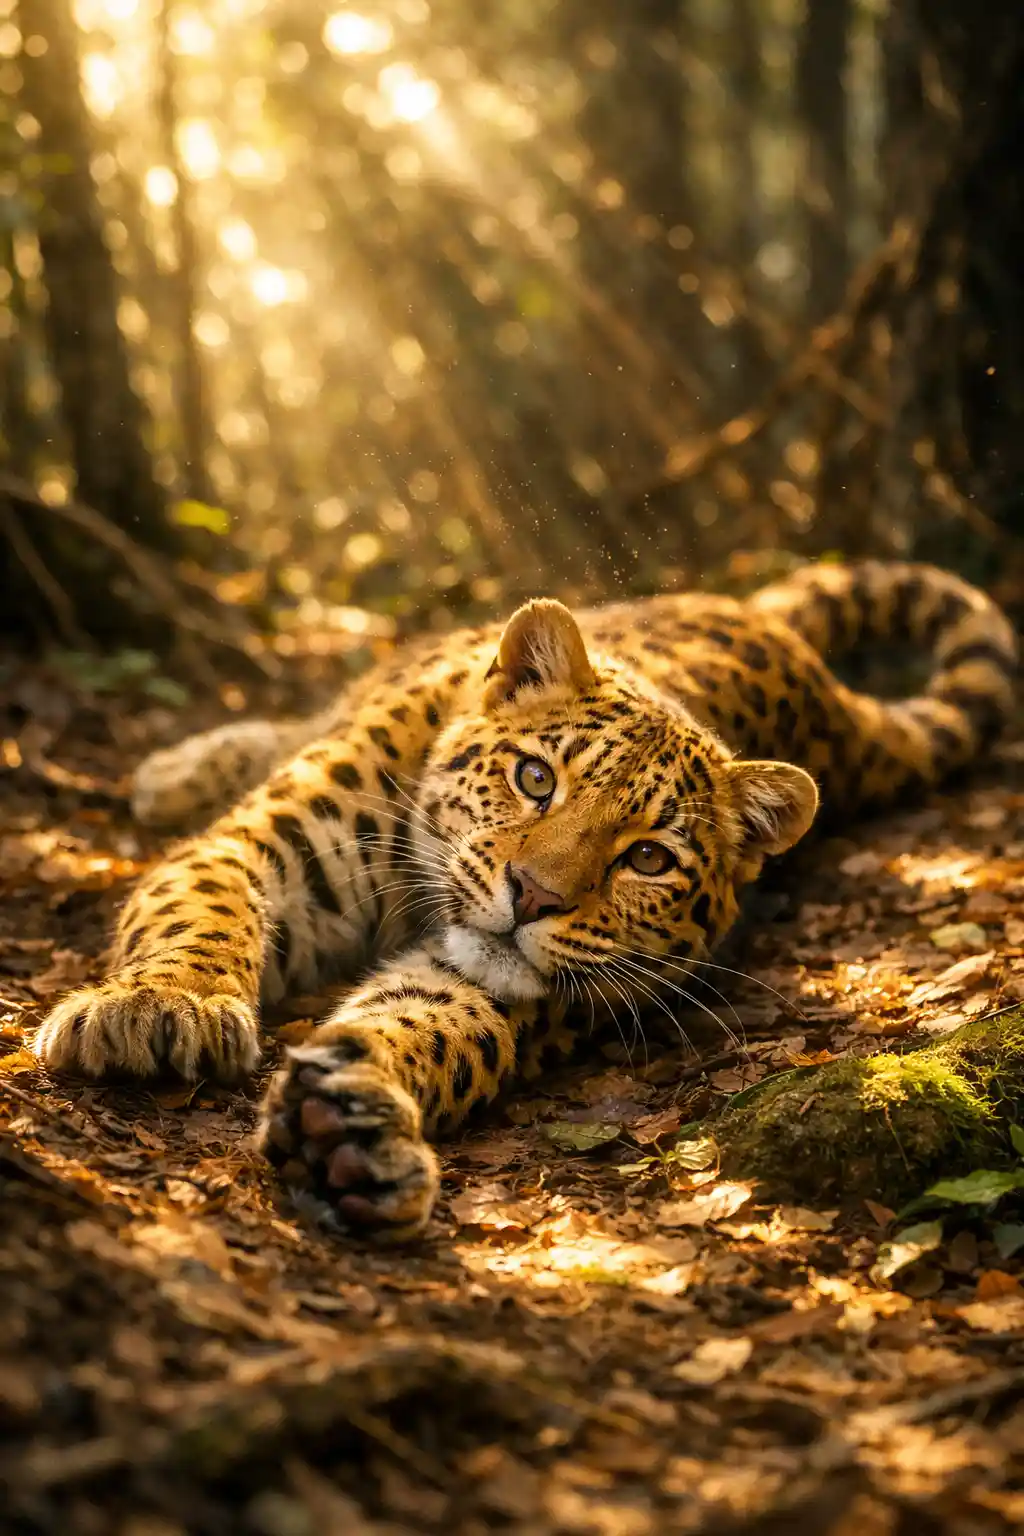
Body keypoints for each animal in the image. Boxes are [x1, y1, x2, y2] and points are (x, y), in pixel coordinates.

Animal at [33, 560, 1018, 1239]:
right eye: (535, 778)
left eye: (648, 859)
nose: (533, 896)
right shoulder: (261, 848)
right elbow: (204, 911)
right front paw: (162, 1008)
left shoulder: (506, 987)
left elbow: (432, 1025)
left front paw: (352, 1127)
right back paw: (175, 772)